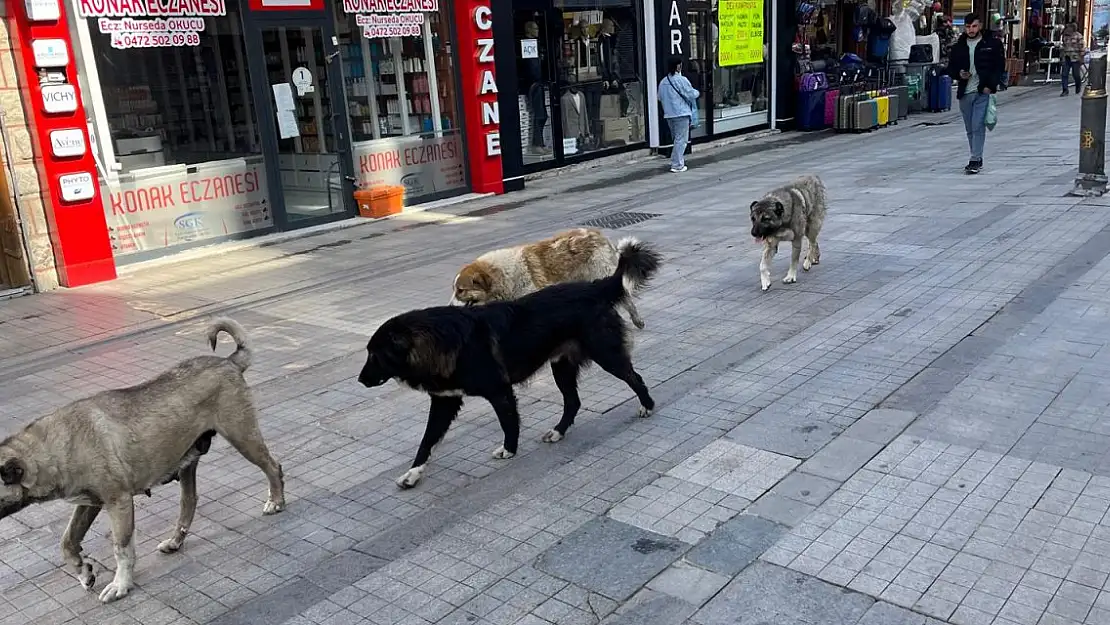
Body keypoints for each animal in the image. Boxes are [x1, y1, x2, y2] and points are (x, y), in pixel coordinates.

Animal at [0, 319, 288, 603]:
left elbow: (122, 548)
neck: (50, 447)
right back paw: (175, 541)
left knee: (273, 467)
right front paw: (83, 571)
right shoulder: (89, 504)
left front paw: (121, 584)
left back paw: (276, 501)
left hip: (244, 437)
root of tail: (229, 361)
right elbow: (67, 541)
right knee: (189, 502)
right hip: (188, 463)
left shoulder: (118, 502)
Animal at [359, 239, 661, 488]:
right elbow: (427, 441)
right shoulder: (445, 401)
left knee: (634, 378)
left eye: (376, 355)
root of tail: (595, 287)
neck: (442, 342)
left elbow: (508, 421)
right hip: (561, 365)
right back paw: (558, 431)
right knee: (573, 401)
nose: (360, 380)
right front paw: (413, 473)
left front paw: (510, 449)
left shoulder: (499, 390)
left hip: (606, 354)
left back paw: (647, 406)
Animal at [450, 228, 657, 328]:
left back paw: (636, 319)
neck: (503, 274)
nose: (449, 307)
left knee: (625, 297)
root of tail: (598, 234)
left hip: (602, 272)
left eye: (461, 290)